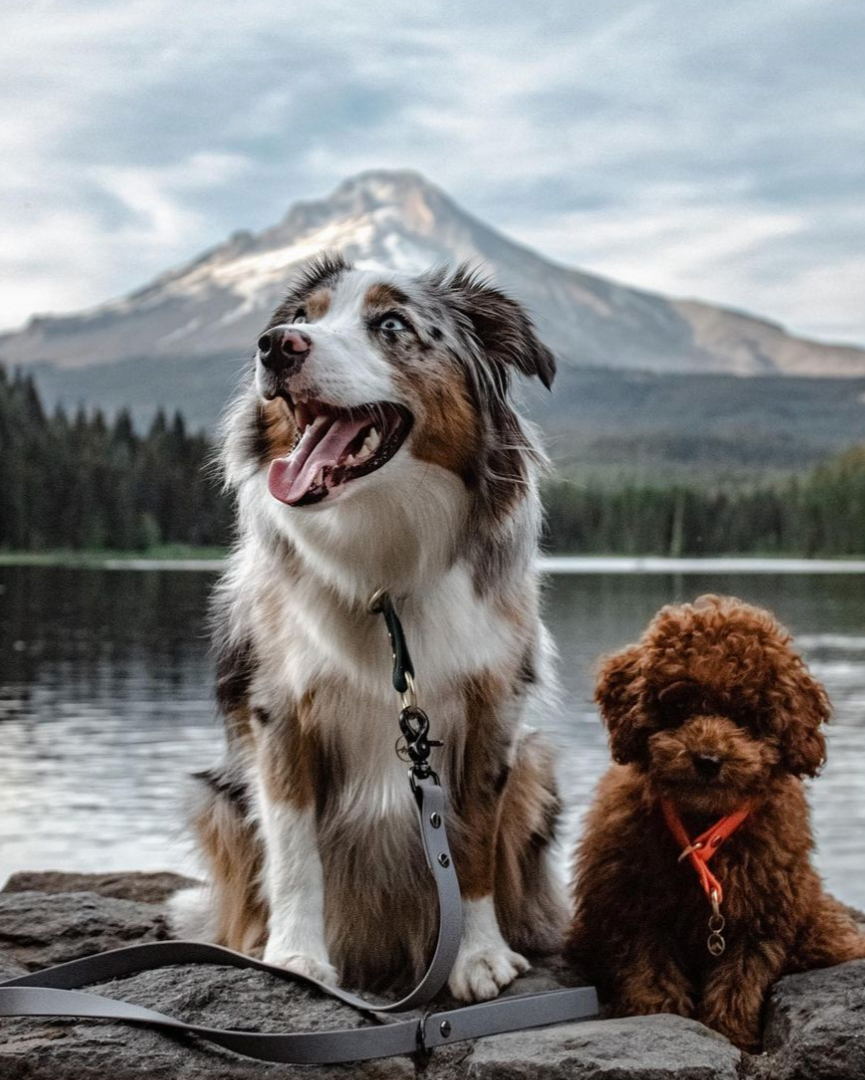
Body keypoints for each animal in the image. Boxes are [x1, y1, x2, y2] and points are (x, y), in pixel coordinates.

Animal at [565, 596, 863, 1049]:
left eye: (745, 716)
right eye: (681, 705)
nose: (708, 759)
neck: (702, 824)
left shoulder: (761, 914)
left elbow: (739, 980)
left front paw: (730, 1032)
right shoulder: (632, 905)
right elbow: (650, 968)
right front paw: (659, 1014)